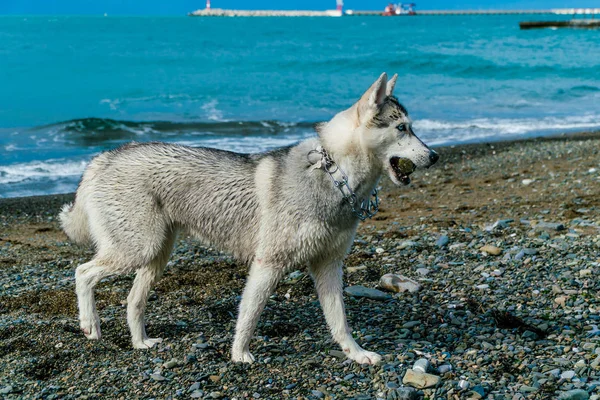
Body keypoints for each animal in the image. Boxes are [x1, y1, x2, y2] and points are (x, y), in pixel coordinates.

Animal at [59, 73, 436, 364]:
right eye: (402, 128)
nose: (434, 156)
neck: (334, 174)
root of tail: (103, 158)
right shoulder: (268, 265)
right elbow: (249, 316)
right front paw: (239, 354)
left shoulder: (328, 266)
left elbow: (340, 321)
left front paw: (356, 353)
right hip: (137, 249)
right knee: (82, 273)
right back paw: (89, 324)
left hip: (155, 255)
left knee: (132, 301)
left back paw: (139, 342)